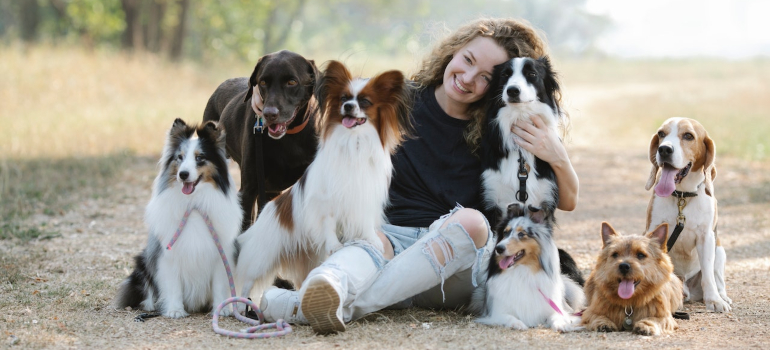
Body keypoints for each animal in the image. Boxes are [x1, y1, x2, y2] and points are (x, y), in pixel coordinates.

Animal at [113, 119, 240, 318]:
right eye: (180, 157)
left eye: (199, 158)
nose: (183, 174)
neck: (193, 204)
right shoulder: (167, 254)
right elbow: (173, 285)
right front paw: (174, 310)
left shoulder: (221, 253)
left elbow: (220, 285)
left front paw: (222, 308)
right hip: (143, 261)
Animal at [234, 60, 412, 300]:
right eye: (344, 99)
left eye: (365, 102)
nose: (348, 107)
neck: (354, 142)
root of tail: (268, 209)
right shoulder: (325, 199)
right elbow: (329, 222)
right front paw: (335, 245)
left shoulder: (364, 195)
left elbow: (365, 222)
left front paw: (372, 240)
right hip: (263, 257)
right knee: (247, 281)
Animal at [468, 202, 584, 330]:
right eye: (505, 233)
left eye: (521, 234)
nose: (498, 248)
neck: (522, 271)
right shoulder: (497, 313)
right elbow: (509, 317)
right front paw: (518, 324)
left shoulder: (551, 309)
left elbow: (557, 316)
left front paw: (562, 324)